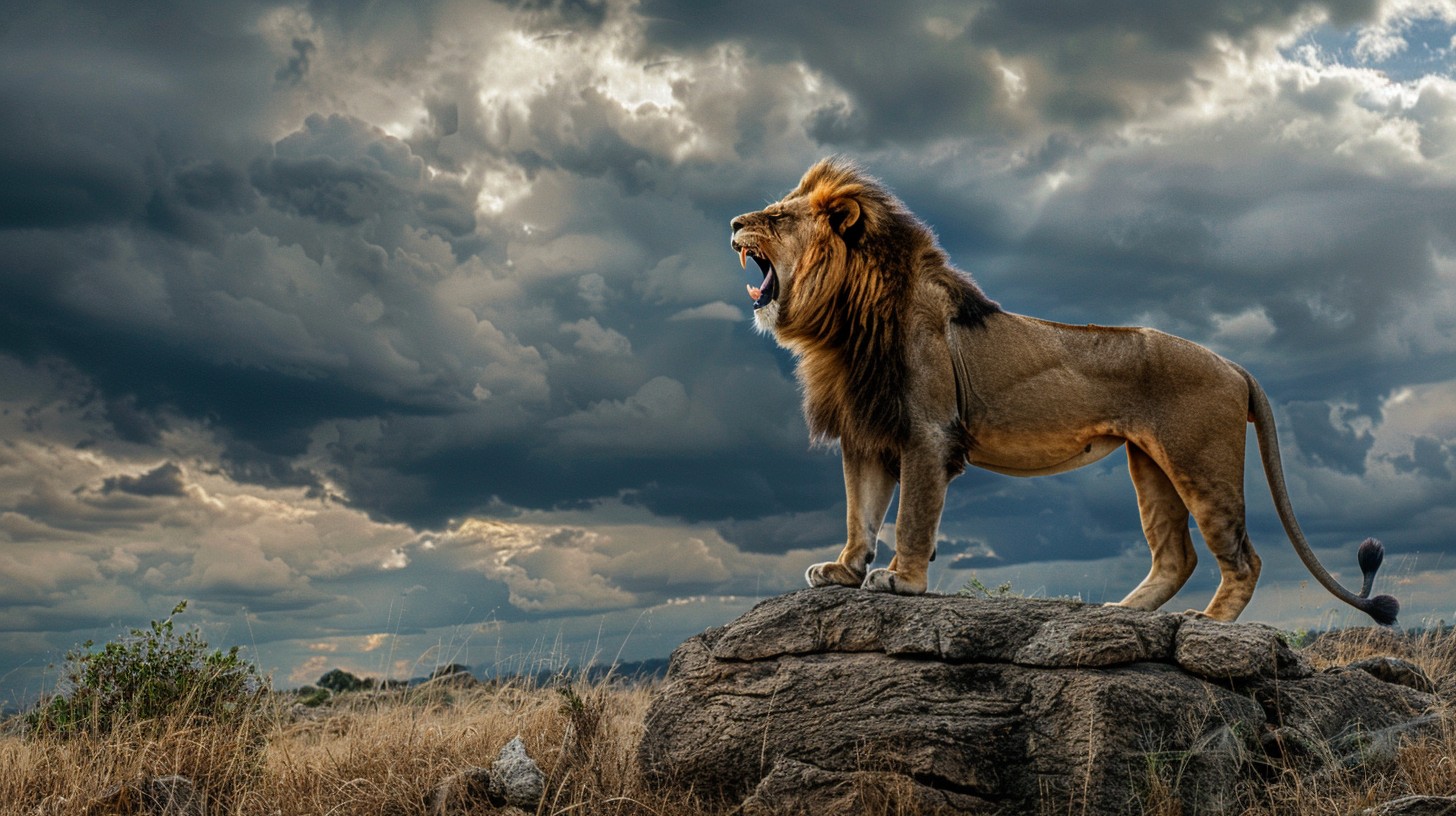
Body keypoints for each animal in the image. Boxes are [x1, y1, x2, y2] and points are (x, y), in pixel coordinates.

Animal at [730, 158, 1398, 624]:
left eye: (777, 217)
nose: (734, 222)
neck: (841, 324)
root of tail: (1235, 365)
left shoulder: (926, 431)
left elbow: (912, 516)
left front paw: (902, 581)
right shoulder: (866, 432)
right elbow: (859, 513)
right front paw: (843, 570)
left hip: (1200, 460)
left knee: (1242, 555)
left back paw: (1209, 622)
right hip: (1150, 464)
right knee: (1175, 555)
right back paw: (1123, 613)